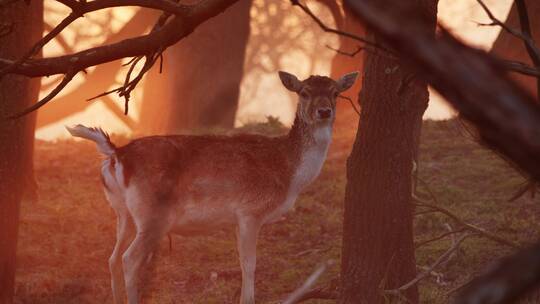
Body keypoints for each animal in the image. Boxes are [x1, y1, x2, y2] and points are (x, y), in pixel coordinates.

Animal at [66, 70, 358, 302]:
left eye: (335, 92)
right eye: (305, 92)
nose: (324, 111)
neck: (289, 174)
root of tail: (116, 154)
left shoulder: (238, 220)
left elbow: (243, 262)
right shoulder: (250, 211)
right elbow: (249, 264)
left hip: (122, 212)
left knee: (113, 258)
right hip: (153, 215)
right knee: (129, 259)